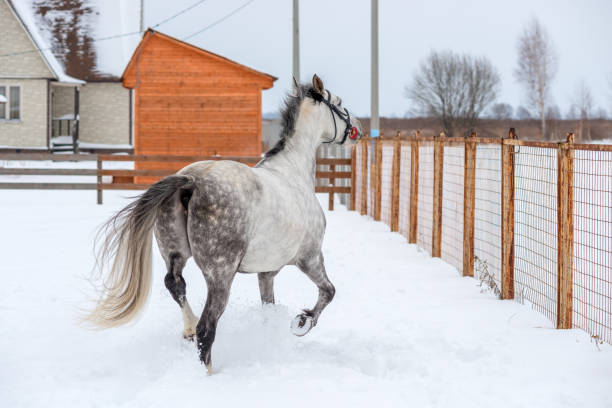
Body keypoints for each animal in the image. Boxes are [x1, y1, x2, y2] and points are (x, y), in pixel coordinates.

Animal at [86, 75, 364, 372]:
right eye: (339, 104)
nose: (358, 129)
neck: (293, 173)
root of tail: (191, 181)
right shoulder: (309, 257)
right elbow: (328, 291)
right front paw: (301, 322)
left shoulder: (267, 272)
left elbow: (269, 307)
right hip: (221, 275)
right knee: (207, 328)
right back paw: (207, 369)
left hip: (174, 254)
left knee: (176, 285)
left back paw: (187, 329)